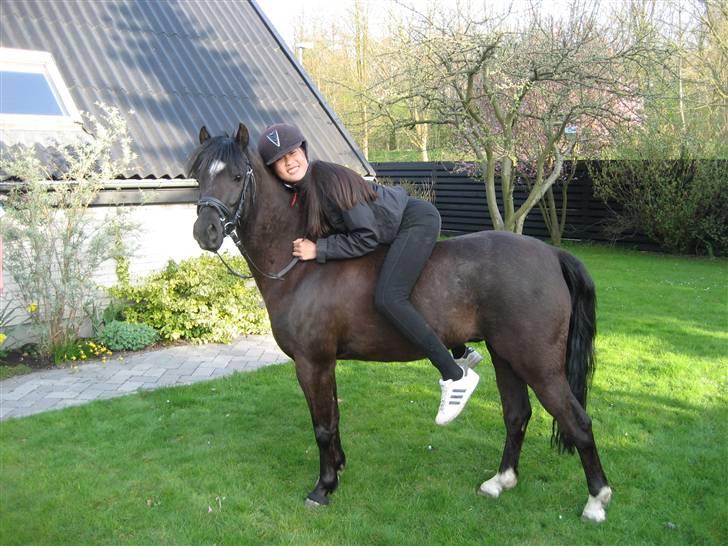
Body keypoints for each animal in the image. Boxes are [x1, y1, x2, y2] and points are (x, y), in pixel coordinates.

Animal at [189, 123, 613, 522]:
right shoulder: (326, 364)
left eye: (238, 176)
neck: (301, 267)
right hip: (506, 356)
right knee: (517, 415)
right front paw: (338, 470)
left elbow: (322, 426)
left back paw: (596, 499)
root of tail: (552, 254)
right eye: (198, 175)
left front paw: (323, 487)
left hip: (539, 365)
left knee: (578, 421)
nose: (205, 232)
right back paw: (500, 480)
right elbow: (334, 417)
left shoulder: (312, 363)